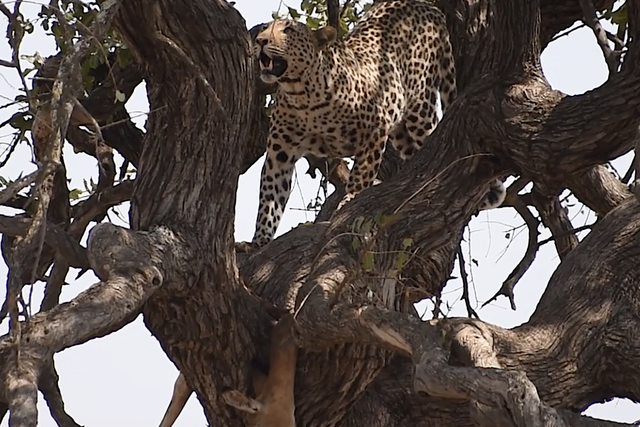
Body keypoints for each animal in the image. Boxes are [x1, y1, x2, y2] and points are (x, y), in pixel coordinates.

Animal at [251, 0, 505, 247]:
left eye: (288, 30)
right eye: (265, 28)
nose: (260, 40)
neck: (301, 95)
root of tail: (427, 6)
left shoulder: (374, 130)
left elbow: (361, 174)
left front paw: (348, 201)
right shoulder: (280, 153)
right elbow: (270, 196)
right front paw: (259, 240)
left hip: (420, 109)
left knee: (436, 147)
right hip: (401, 131)